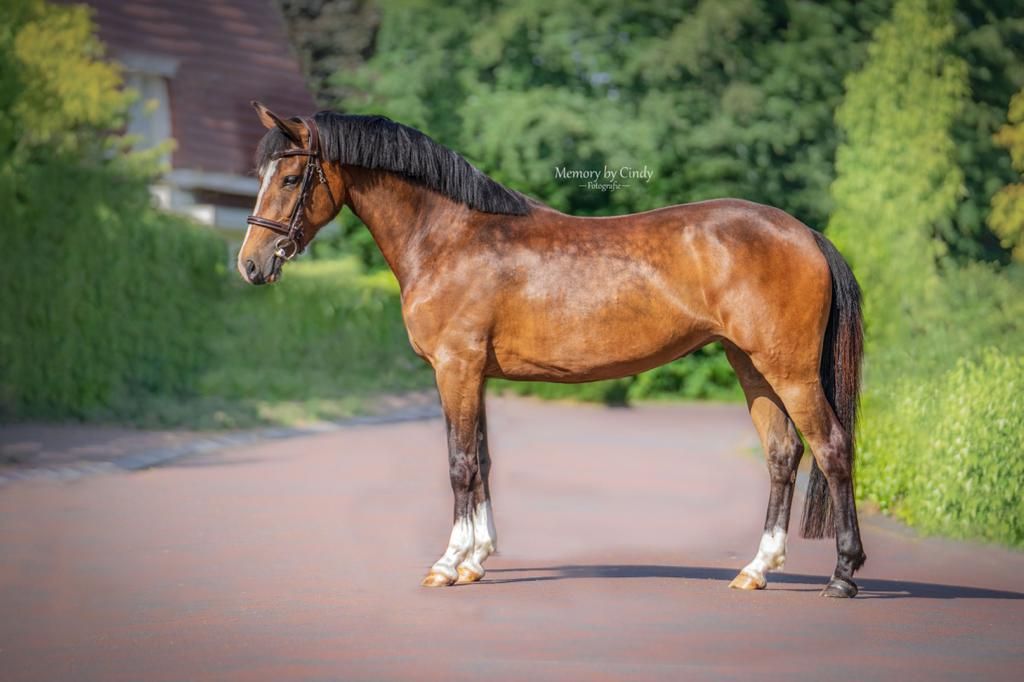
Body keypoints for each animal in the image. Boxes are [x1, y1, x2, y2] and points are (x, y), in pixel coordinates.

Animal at [238, 101, 867, 598]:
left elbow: (459, 463)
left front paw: (448, 563)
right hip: (752, 366)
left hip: (790, 372)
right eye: (261, 174)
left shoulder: (455, 368)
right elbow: (483, 460)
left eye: (290, 179)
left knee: (832, 449)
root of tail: (807, 234)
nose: (251, 265)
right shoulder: (474, 373)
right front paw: (477, 559)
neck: (449, 237)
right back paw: (756, 569)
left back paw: (843, 574)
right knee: (783, 454)